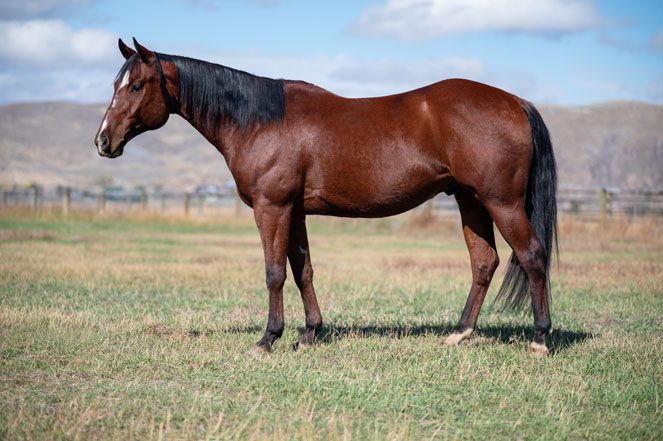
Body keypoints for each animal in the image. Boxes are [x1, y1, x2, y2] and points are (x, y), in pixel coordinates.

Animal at [95, 39, 558, 355]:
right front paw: (310, 333)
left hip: (500, 201)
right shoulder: (295, 212)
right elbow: (303, 271)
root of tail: (514, 101)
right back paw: (459, 333)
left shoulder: (272, 208)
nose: (103, 142)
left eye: (136, 86)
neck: (259, 122)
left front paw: (268, 338)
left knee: (532, 255)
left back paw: (539, 338)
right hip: (470, 200)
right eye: (116, 83)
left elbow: (274, 273)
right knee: (484, 262)